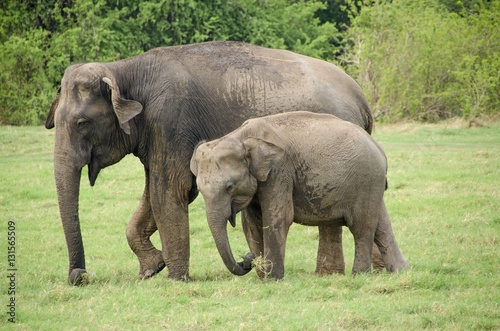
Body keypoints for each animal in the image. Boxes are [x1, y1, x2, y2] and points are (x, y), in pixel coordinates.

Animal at [46, 41, 376, 286]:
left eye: (82, 123)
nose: (81, 276)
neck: (124, 68)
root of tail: (363, 100)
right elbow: (154, 195)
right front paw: (151, 269)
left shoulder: (171, 121)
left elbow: (169, 192)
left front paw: (176, 280)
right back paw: (332, 275)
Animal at [189, 111, 408, 280]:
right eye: (199, 189)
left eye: (229, 187)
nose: (247, 259)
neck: (242, 137)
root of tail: (379, 148)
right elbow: (252, 224)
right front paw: (263, 276)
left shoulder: (279, 170)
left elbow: (278, 217)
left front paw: (273, 278)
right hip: (371, 183)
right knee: (381, 225)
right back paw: (400, 272)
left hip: (365, 179)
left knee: (362, 227)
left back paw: (359, 276)